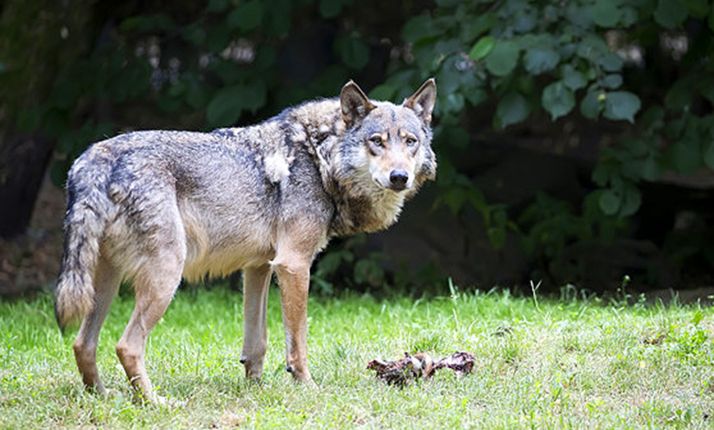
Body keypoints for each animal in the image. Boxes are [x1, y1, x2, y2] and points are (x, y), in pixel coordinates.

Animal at [54, 78, 437, 402]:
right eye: (377, 142)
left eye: (410, 141)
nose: (399, 177)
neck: (320, 157)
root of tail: (95, 159)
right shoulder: (294, 265)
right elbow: (298, 340)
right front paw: (306, 386)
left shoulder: (259, 268)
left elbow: (257, 342)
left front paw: (256, 389)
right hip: (165, 278)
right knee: (126, 346)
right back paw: (155, 402)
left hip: (104, 283)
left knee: (82, 344)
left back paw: (103, 397)